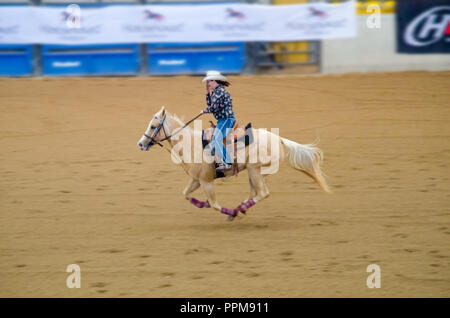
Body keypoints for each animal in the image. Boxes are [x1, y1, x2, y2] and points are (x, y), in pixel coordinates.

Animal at [137, 107, 330, 221]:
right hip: (257, 173)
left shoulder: (207, 182)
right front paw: (203, 204)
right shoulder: (196, 180)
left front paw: (226, 211)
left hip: (254, 170)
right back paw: (240, 209)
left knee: (263, 193)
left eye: (153, 126)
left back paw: (238, 210)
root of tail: (279, 139)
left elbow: (215, 204)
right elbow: (185, 194)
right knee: (256, 192)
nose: (140, 143)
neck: (191, 144)